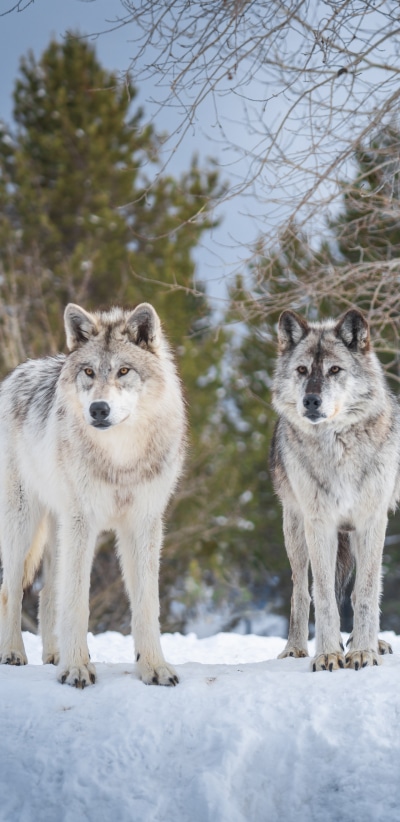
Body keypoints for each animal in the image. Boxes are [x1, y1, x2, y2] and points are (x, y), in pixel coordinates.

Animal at [0, 302, 186, 688]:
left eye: (123, 371)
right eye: (88, 371)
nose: (98, 409)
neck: (121, 458)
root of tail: (19, 370)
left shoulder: (144, 524)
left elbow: (147, 604)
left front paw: (154, 667)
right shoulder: (82, 522)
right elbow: (77, 601)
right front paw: (77, 668)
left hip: (58, 528)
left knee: (47, 592)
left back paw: (53, 655)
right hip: (23, 523)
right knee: (10, 590)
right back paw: (13, 653)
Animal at [270, 308, 400, 671]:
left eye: (334, 370)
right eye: (302, 370)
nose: (311, 401)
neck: (338, 446)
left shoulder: (371, 522)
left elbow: (366, 592)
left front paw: (363, 652)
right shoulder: (320, 524)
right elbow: (325, 595)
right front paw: (328, 653)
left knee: (364, 590)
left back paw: (371, 643)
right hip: (295, 531)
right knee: (300, 591)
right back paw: (295, 648)